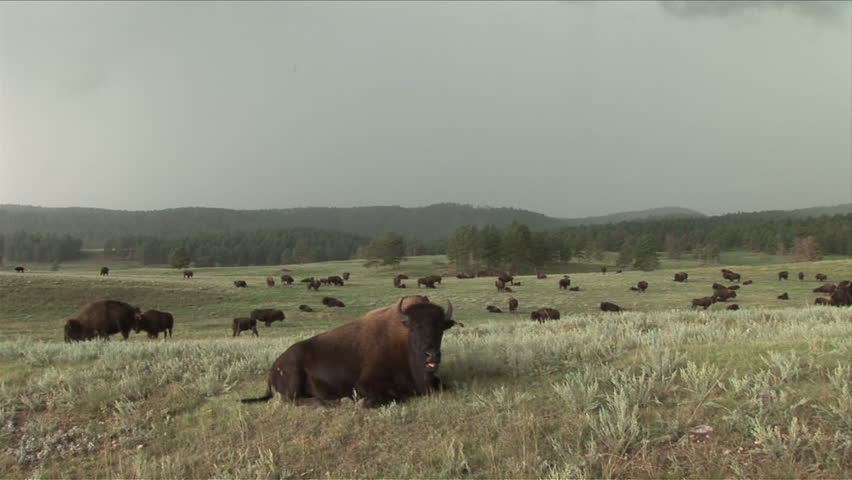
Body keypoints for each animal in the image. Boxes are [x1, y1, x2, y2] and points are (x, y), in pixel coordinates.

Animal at [241, 296, 456, 407]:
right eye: (415, 327)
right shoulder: (364, 384)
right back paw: (336, 402)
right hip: (294, 375)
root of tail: (273, 367)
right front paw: (358, 403)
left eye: (440, 328)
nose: (432, 355)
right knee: (296, 400)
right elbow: (391, 396)